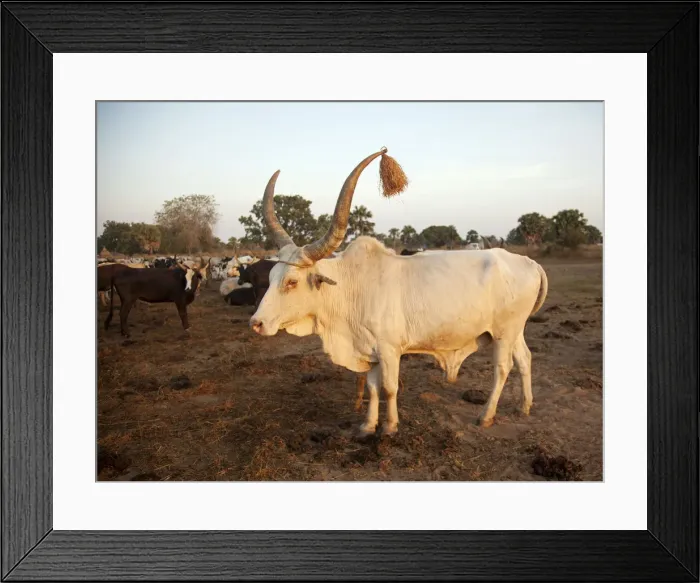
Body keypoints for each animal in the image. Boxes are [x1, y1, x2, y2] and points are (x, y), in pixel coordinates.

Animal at [247, 147, 549, 435]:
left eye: (292, 282)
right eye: (271, 277)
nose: (256, 323)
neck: (350, 287)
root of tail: (529, 262)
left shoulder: (389, 350)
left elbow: (389, 388)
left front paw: (390, 426)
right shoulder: (369, 352)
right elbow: (371, 388)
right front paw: (368, 426)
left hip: (503, 333)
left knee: (502, 369)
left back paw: (486, 415)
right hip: (514, 332)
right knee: (525, 359)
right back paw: (524, 406)